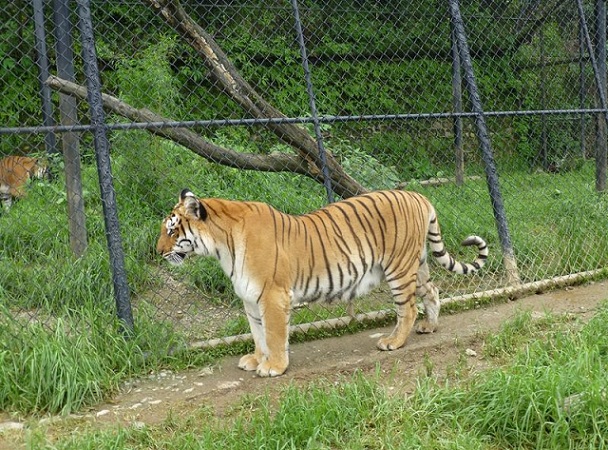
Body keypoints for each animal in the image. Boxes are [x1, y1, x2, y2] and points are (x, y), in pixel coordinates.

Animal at [158, 188, 490, 378]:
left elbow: (274, 335)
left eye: (172, 231)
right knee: (432, 290)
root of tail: (419, 195)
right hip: (415, 264)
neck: (222, 247)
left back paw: (394, 341)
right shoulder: (250, 299)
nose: (158, 251)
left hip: (398, 268)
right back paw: (429, 326)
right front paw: (256, 359)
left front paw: (275, 367)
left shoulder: (273, 296)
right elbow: (258, 334)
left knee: (406, 308)